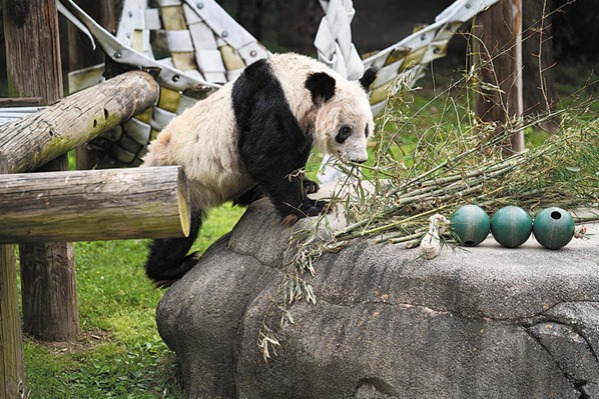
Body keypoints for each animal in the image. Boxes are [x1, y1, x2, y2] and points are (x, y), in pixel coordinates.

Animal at [143, 53, 378, 286]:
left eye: (366, 129)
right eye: (345, 131)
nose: (359, 159)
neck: (293, 80)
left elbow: (292, 156)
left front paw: (307, 185)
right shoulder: (270, 102)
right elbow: (265, 156)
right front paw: (311, 207)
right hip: (180, 186)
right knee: (177, 232)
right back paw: (172, 268)